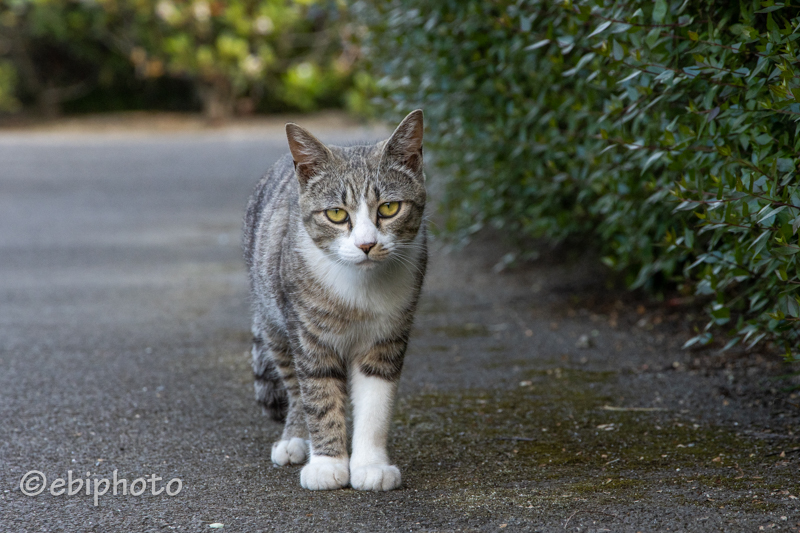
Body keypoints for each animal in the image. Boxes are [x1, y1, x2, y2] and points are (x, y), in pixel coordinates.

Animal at [242, 109, 428, 490]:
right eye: (337, 214)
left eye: (389, 207)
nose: (366, 244)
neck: (360, 288)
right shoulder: (308, 336)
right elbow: (318, 394)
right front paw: (327, 463)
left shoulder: (387, 336)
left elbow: (375, 403)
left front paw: (370, 464)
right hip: (274, 319)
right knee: (294, 386)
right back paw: (294, 439)